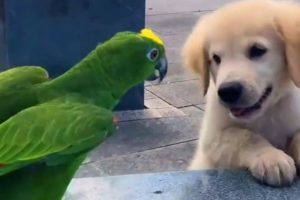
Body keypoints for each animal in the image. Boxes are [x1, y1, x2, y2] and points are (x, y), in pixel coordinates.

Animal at [182, 0, 300, 187]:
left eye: (257, 50)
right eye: (216, 58)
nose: (228, 92)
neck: (265, 114)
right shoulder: (211, 139)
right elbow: (244, 136)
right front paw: (271, 158)